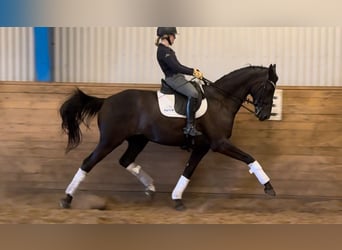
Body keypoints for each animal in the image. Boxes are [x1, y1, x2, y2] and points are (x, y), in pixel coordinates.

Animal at [58, 63, 278, 210]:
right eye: (268, 87)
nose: (264, 115)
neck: (221, 101)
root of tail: (106, 101)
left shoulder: (202, 147)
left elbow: (188, 171)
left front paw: (177, 199)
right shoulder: (220, 143)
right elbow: (250, 158)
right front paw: (269, 188)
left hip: (138, 140)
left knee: (126, 160)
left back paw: (150, 188)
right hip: (109, 140)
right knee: (88, 163)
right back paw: (67, 199)